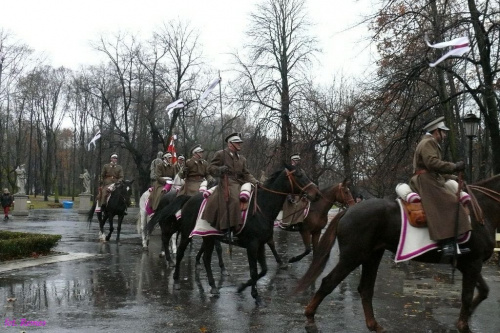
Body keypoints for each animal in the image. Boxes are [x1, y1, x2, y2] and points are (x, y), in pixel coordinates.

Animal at [149, 163, 320, 300]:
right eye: (299, 175)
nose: (316, 193)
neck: (262, 208)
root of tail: (189, 199)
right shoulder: (252, 245)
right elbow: (254, 271)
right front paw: (254, 294)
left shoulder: (261, 244)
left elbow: (263, 270)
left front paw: (243, 287)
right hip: (185, 233)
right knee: (179, 252)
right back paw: (176, 279)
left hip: (208, 237)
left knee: (206, 258)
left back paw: (213, 286)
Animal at [294, 174, 500, 332]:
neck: (482, 210)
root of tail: (349, 210)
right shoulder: (473, 263)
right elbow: (467, 296)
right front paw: (463, 325)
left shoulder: (470, 265)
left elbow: (483, 291)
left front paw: (465, 318)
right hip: (352, 257)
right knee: (329, 282)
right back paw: (310, 318)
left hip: (371, 256)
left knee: (365, 289)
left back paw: (374, 325)